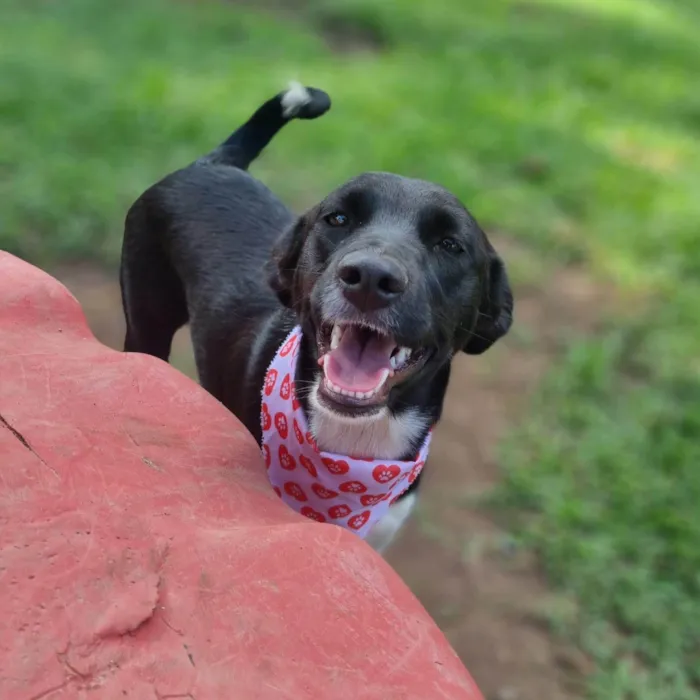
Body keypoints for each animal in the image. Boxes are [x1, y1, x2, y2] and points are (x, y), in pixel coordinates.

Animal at [120, 83, 516, 552]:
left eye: (451, 245)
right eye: (338, 218)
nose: (370, 277)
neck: (352, 446)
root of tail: (215, 163)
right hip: (146, 324)